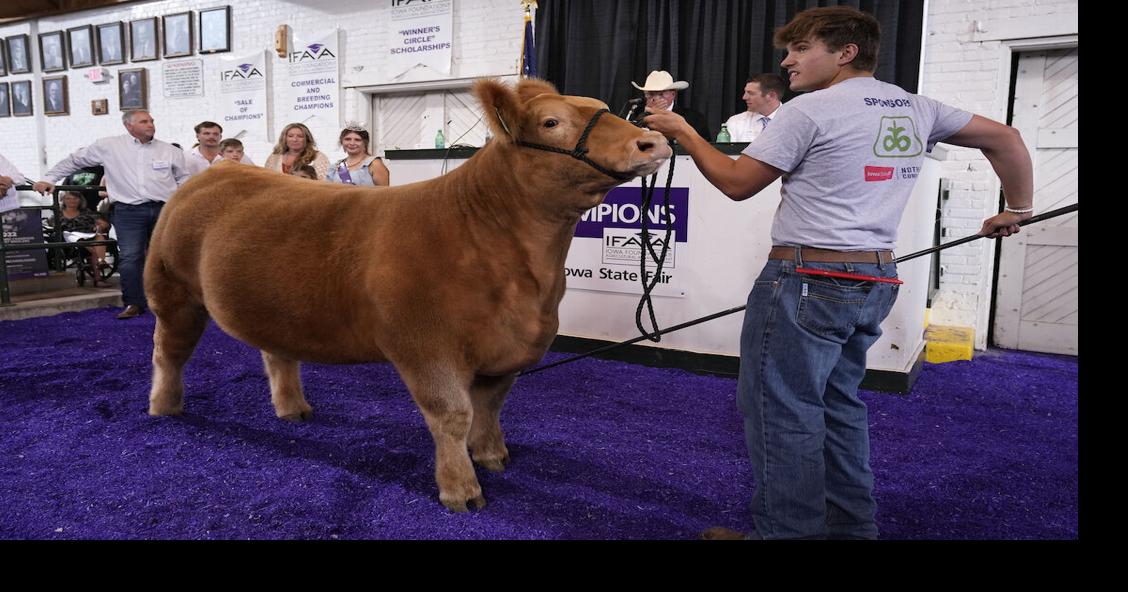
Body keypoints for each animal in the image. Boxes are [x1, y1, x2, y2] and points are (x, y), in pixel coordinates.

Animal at [141, 78, 667, 509]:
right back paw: (165, 406)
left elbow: (491, 407)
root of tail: (210, 175)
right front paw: (462, 490)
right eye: (551, 122)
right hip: (173, 294)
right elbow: (452, 416)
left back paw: (293, 409)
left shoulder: (508, 348)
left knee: (277, 354)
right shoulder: (425, 346)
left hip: (274, 306)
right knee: (169, 353)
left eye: (602, 107)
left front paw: (492, 456)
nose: (654, 141)